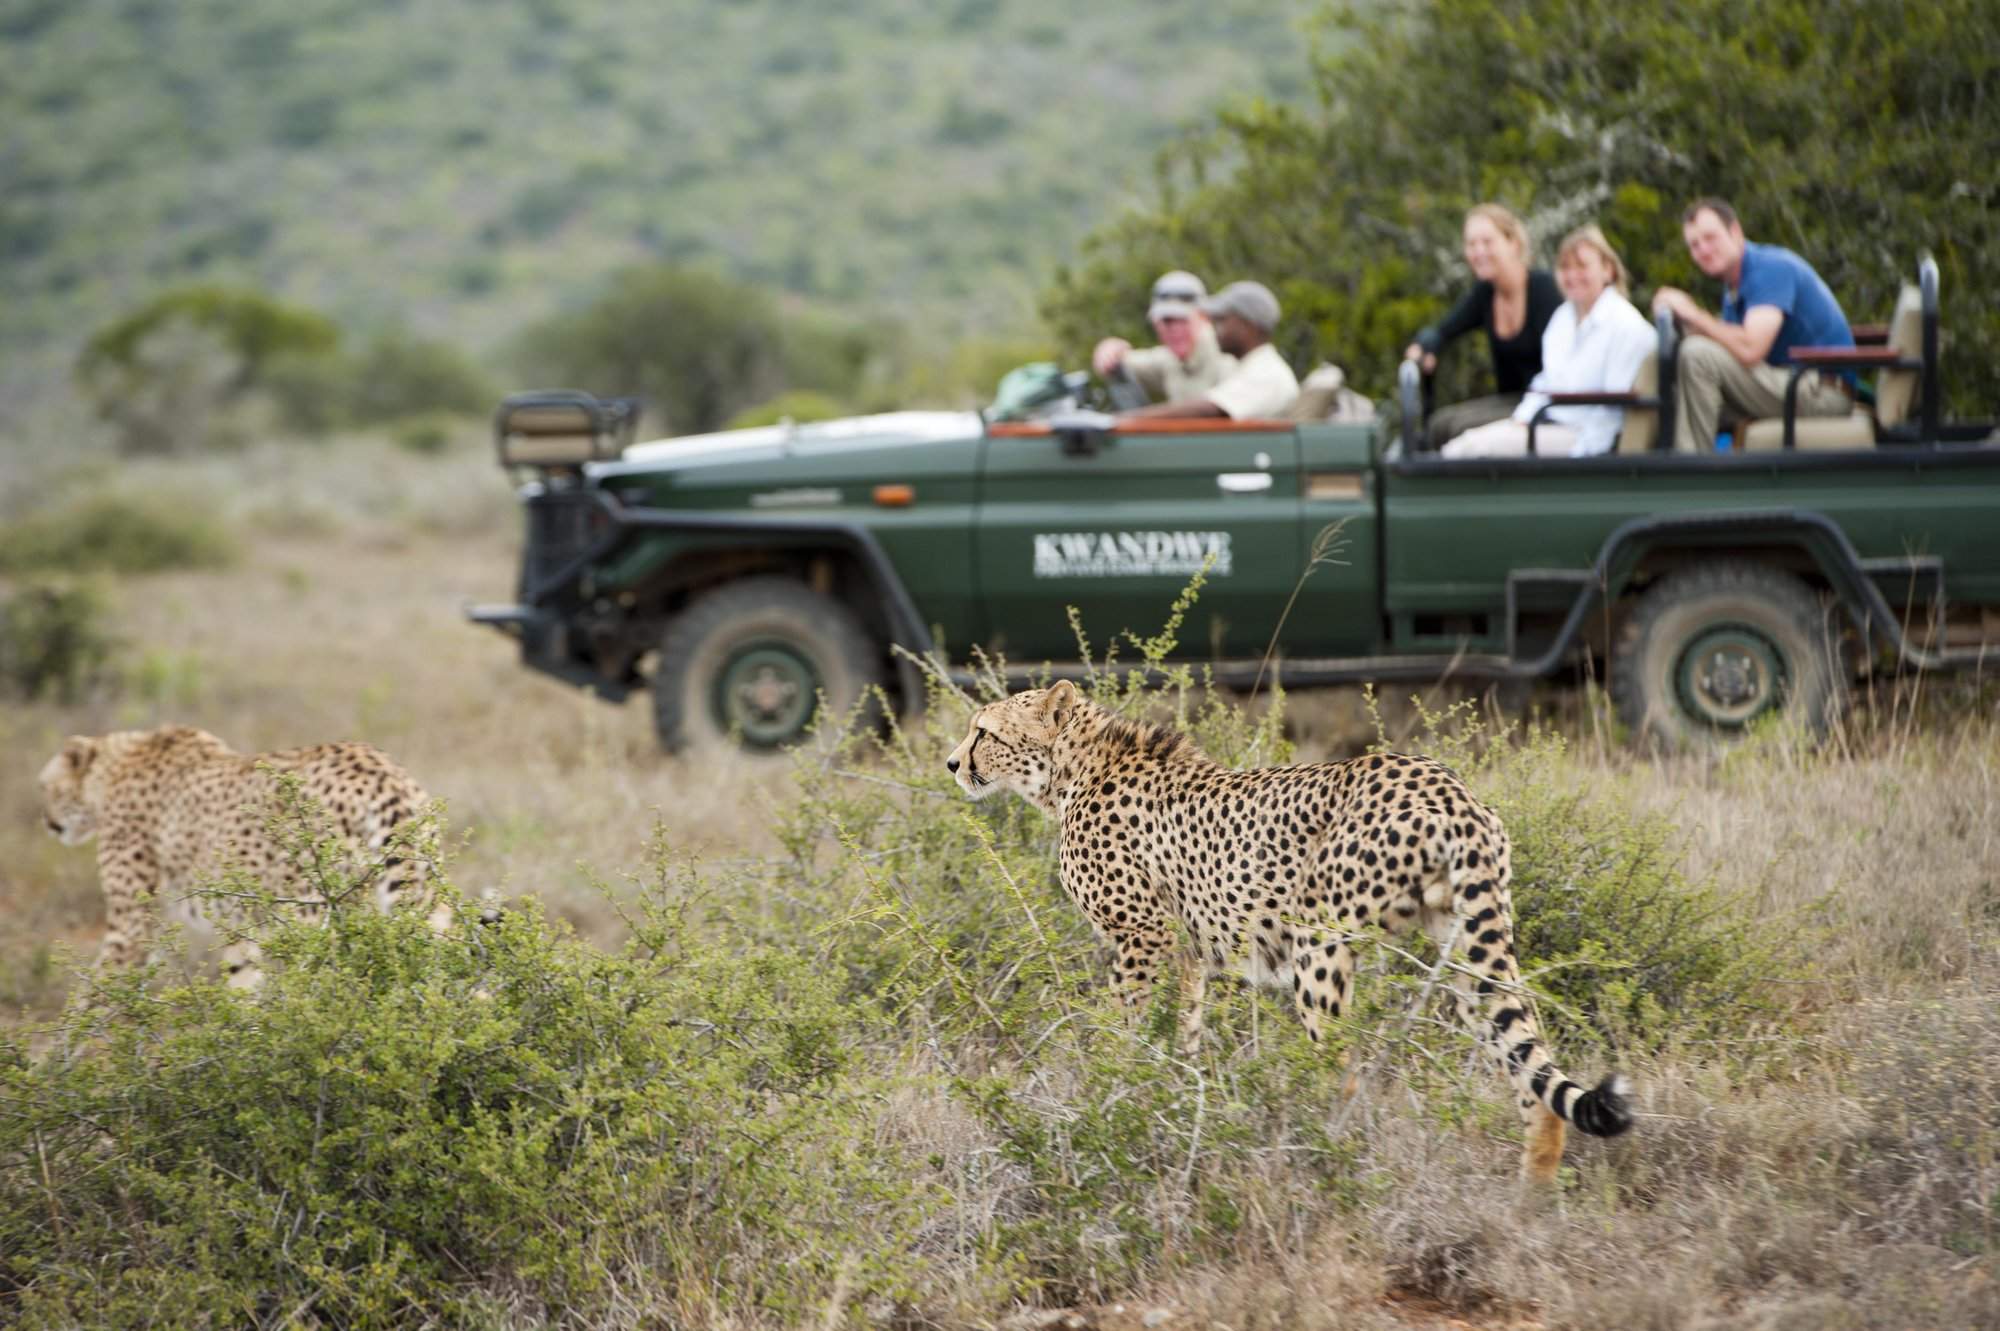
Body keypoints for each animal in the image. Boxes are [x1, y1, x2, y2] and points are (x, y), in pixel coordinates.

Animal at [36, 727, 450, 983]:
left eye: (44, 787)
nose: (46, 821)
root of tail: (377, 768)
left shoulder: (131, 929)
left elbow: (92, 1000)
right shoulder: (240, 927)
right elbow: (243, 984)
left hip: (311, 913)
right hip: (424, 894)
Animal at [944, 683, 1632, 1183]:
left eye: (985, 732)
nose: (952, 762)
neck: (1073, 771)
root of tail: (1444, 784)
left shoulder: (1143, 937)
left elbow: (1126, 1031)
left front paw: (1111, 1094)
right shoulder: (1186, 954)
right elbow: (1183, 1038)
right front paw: (1169, 1104)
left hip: (1317, 942)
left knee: (1341, 1067)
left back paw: (1314, 1149)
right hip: (1467, 945)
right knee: (1528, 1065)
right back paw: (1529, 1203)